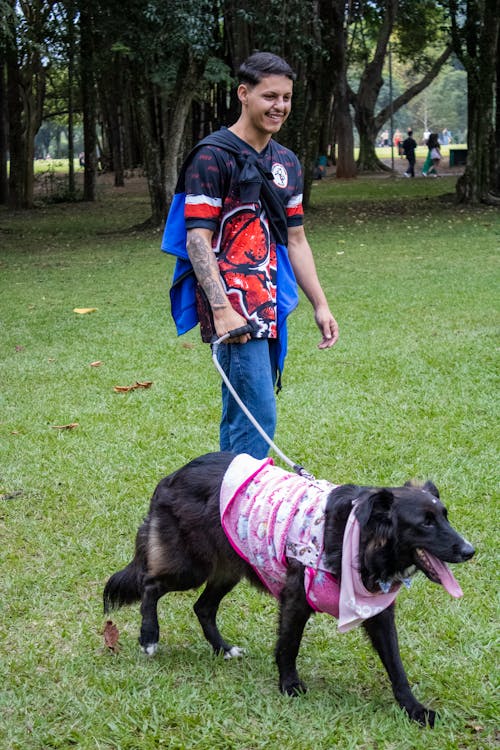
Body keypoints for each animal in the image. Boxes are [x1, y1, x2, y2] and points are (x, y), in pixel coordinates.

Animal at [102, 452, 472, 728]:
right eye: (425, 523)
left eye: (445, 516)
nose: (470, 550)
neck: (356, 538)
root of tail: (173, 475)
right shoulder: (296, 598)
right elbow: (288, 646)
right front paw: (289, 685)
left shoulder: (377, 612)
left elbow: (396, 665)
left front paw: (413, 708)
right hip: (189, 567)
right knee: (150, 584)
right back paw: (149, 636)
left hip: (229, 568)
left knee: (202, 607)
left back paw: (223, 648)